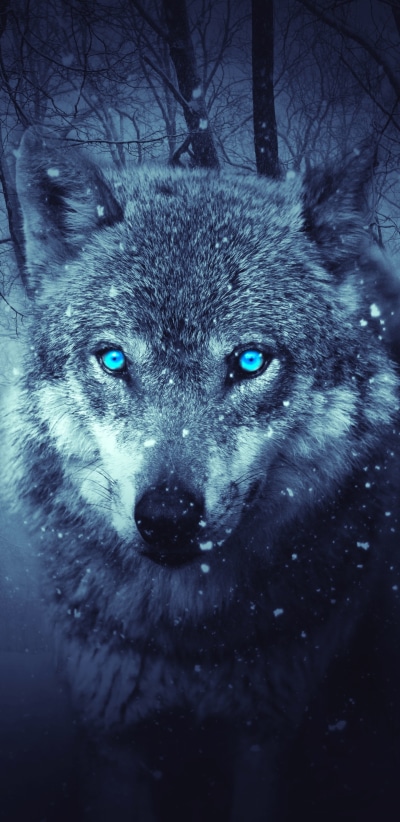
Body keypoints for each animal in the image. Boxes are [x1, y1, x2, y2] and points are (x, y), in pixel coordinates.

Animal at [1, 127, 399, 821]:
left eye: (250, 360)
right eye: (113, 360)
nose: (167, 517)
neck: (187, 640)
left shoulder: (267, 733)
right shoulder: (113, 734)